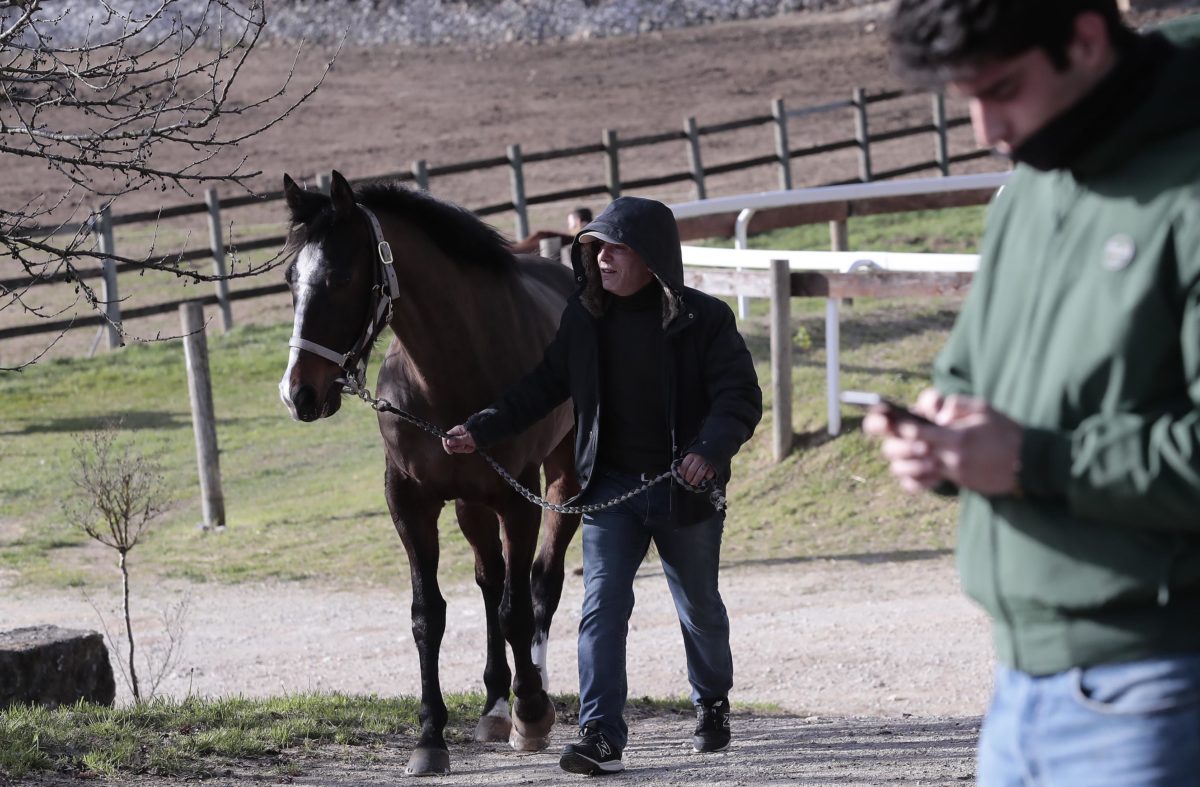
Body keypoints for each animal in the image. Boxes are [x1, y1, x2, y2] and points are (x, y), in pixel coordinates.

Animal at [278, 170, 583, 772]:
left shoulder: (518, 498)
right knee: (491, 580)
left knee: (540, 581)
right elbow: (429, 616)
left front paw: (532, 712)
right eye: (290, 278)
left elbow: (516, 609)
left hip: (563, 483)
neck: (449, 375)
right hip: (469, 503)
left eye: (342, 277)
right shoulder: (410, 501)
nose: (298, 394)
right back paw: (495, 704)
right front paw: (429, 738)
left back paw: (530, 695)